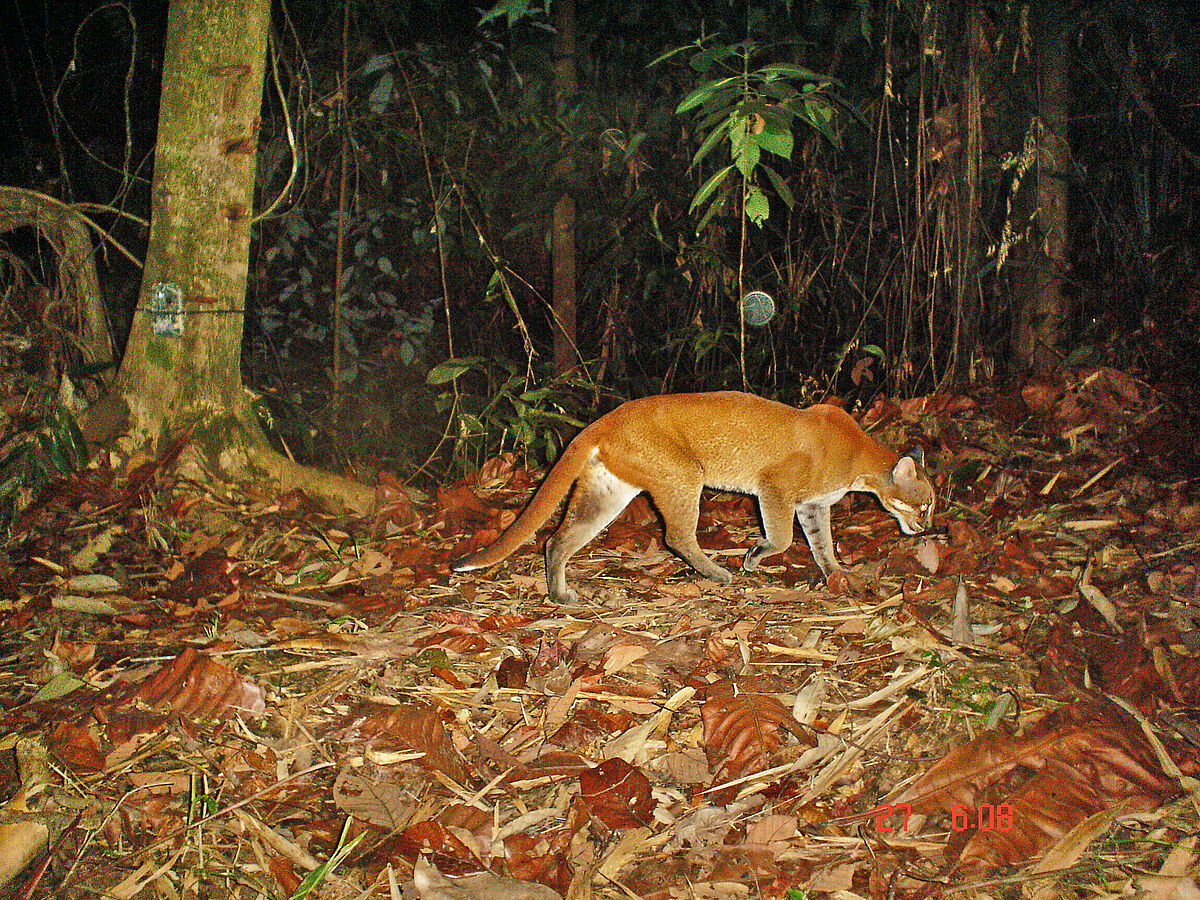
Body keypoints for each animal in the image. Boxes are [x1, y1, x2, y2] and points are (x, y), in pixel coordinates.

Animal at [453, 391, 931, 602]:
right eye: (924, 503)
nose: (927, 526)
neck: (859, 457)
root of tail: (604, 419)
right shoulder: (775, 488)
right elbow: (782, 539)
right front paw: (754, 557)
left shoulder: (812, 505)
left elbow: (821, 543)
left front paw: (836, 573)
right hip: (684, 475)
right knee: (676, 536)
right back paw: (719, 574)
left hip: (608, 491)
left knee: (558, 539)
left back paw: (560, 594)